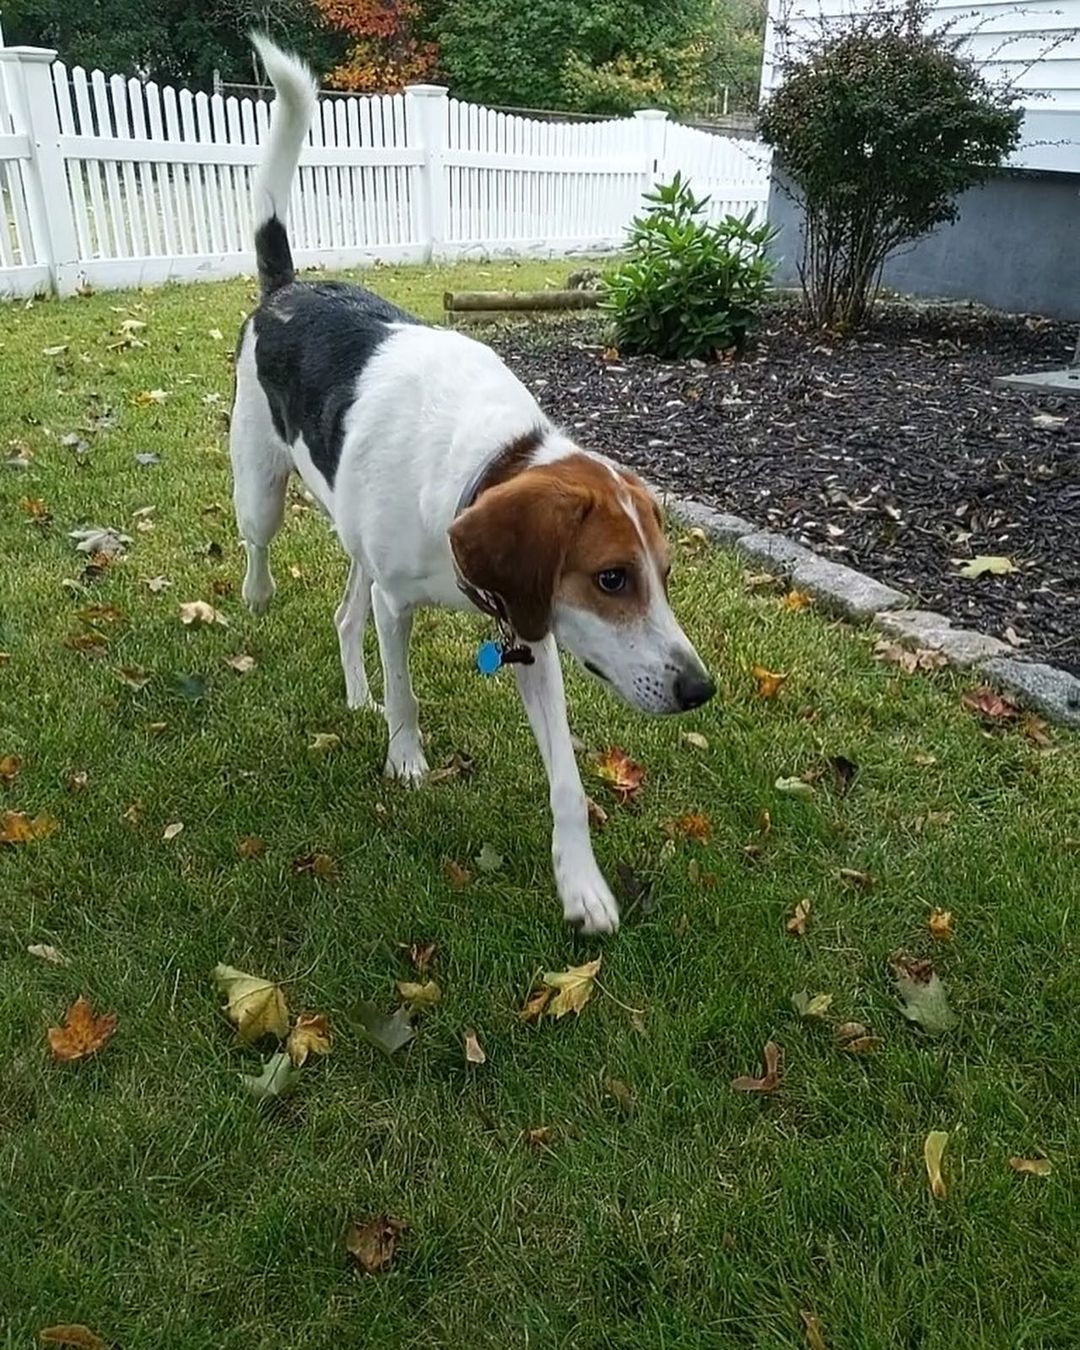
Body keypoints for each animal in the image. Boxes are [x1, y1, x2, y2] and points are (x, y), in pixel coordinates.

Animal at [232, 36, 712, 934]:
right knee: (264, 551)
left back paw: (354, 693)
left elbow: (567, 781)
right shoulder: (403, 605)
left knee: (344, 614)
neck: (487, 460)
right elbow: (407, 695)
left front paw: (580, 881)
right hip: (260, 493)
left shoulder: (534, 632)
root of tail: (289, 286)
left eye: (663, 576)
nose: (700, 689)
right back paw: (258, 595)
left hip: (355, 542)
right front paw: (407, 759)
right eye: (611, 578)